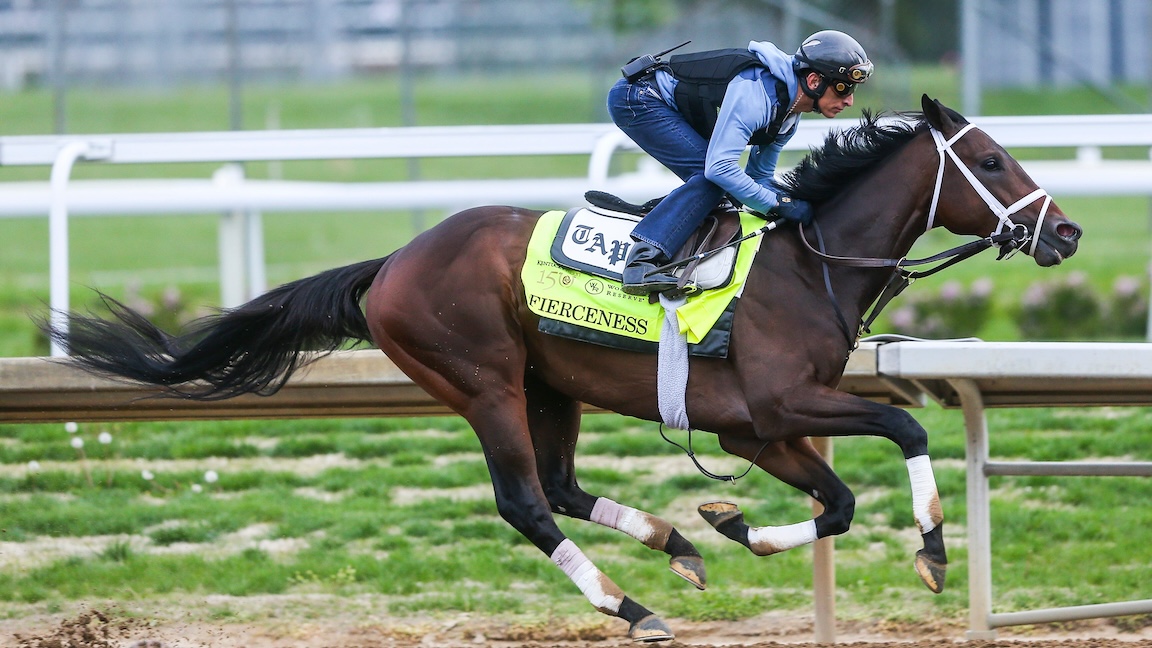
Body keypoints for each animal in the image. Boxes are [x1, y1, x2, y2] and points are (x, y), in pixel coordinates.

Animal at [44, 95, 1082, 641]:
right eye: (992, 158)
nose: (1066, 232)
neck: (808, 262)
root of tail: (393, 263)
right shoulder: (784, 402)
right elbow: (902, 427)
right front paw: (934, 548)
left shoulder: (756, 426)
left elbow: (838, 503)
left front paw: (735, 522)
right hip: (484, 382)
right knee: (526, 503)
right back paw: (631, 603)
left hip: (552, 388)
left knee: (562, 485)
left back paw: (678, 542)